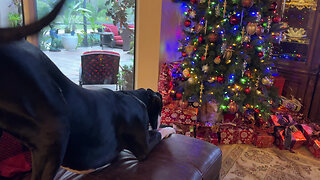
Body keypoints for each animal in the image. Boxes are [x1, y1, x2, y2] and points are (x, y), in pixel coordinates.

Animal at [0, 1, 165, 179]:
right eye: (161, 108)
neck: (132, 95)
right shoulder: (144, 147)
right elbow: (159, 134)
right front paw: (167, 128)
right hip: (55, 129)